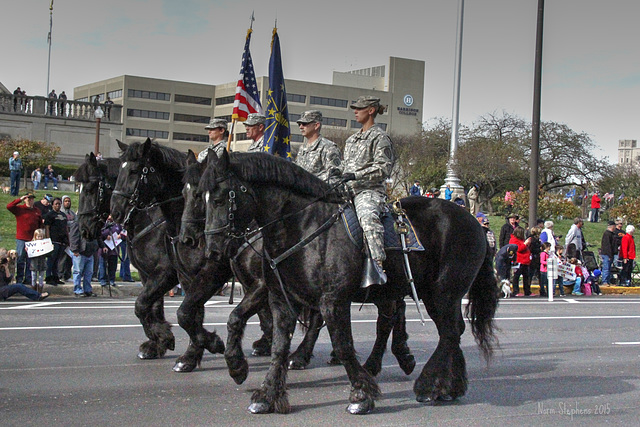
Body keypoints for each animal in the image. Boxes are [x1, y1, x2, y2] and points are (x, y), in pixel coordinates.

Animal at [200, 150, 500, 414]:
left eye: (220, 198)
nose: (212, 249)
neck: (303, 226)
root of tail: (474, 222)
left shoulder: (332, 300)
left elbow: (343, 346)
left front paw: (361, 394)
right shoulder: (281, 299)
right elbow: (277, 346)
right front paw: (264, 391)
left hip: (442, 292)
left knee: (448, 332)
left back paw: (429, 385)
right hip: (423, 293)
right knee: (445, 330)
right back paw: (447, 384)